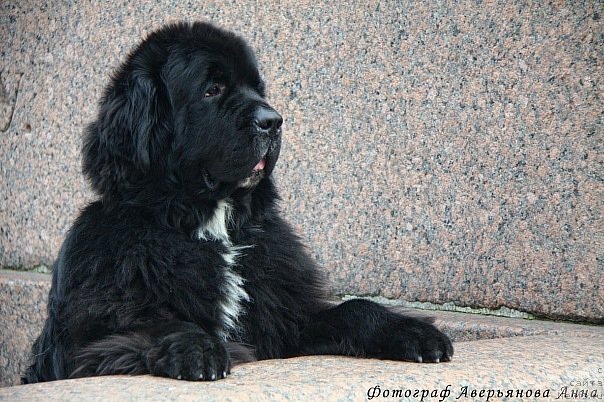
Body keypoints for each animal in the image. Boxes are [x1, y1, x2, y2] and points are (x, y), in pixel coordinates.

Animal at [23, 21, 452, 384]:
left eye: (257, 89)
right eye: (211, 89)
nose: (274, 121)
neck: (211, 228)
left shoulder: (285, 319)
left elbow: (355, 308)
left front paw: (414, 331)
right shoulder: (90, 340)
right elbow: (162, 323)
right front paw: (198, 350)